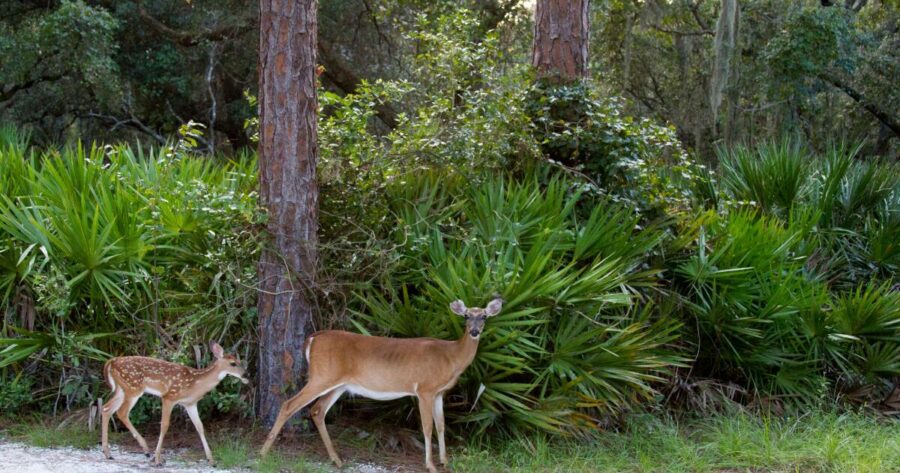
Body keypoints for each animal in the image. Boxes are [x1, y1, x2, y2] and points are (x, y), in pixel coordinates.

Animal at [101, 340, 250, 464]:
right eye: (233, 363)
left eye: (240, 361)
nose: (246, 376)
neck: (195, 384)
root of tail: (112, 361)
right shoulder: (169, 397)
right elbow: (164, 425)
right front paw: (158, 459)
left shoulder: (190, 404)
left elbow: (200, 426)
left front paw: (211, 460)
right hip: (133, 388)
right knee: (121, 412)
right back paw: (146, 450)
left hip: (122, 389)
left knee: (106, 408)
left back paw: (108, 453)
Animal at [258, 296, 506, 470]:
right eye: (466, 316)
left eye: (484, 316)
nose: (474, 331)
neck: (450, 357)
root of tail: (313, 337)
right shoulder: (424, 389)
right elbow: (427, 427)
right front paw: (431, 465)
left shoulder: (439, 393)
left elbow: (442, 425)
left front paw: (445, 461)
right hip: (321, 376)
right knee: (289, 404)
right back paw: (263, 454)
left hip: (338, 384)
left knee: (317, 410)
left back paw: (337, 460)